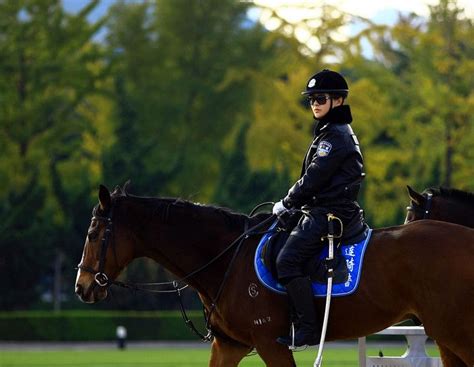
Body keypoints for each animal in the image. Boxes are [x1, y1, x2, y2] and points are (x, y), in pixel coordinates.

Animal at [75, 187, 474, 367]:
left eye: (93, 233)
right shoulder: (229, 345)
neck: (227, 258)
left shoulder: (271, 343)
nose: (81, 287)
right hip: (446, 336)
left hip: (455, 333)